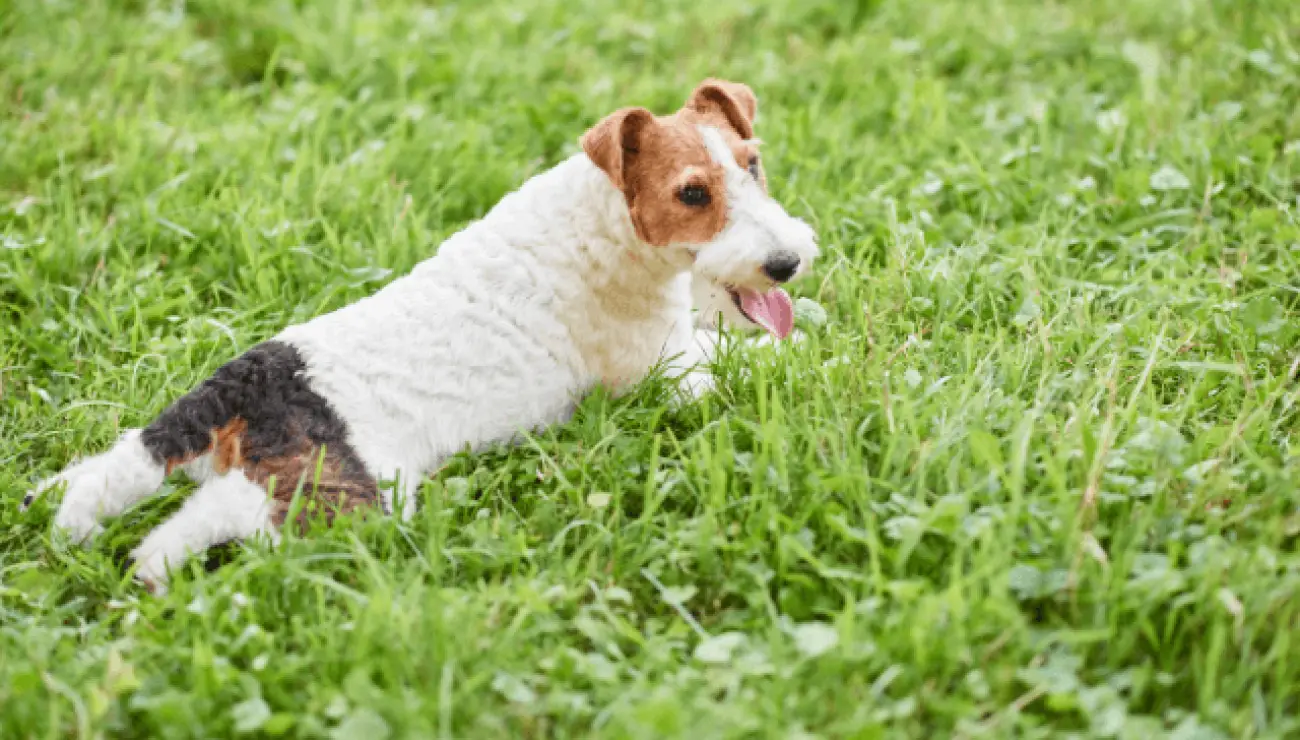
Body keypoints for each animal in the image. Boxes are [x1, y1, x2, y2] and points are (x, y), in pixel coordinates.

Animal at [20, 78, 816, 590]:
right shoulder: (661, 374)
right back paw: (152, 572)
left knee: (112, 471)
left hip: (211, 459)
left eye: (752, 164)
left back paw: (69, 520)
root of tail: (247, 385)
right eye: (692, 192)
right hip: (345, 492)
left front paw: (807, 321)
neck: (605, 219)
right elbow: (739, 362)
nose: (788, 262)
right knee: (220, 517)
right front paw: (800, 352)